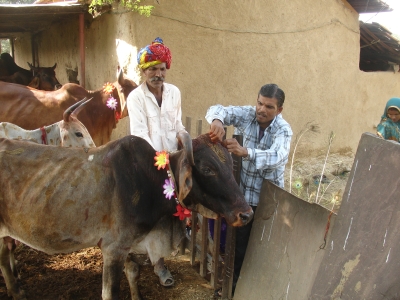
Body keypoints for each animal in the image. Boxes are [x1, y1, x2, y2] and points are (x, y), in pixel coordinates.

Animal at [0, 132, 253, 300]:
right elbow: (110, 292)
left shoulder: (132, 244)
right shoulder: (114, 248)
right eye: (208, 169)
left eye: (230, 166)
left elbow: (133, 274)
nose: (247, 214)